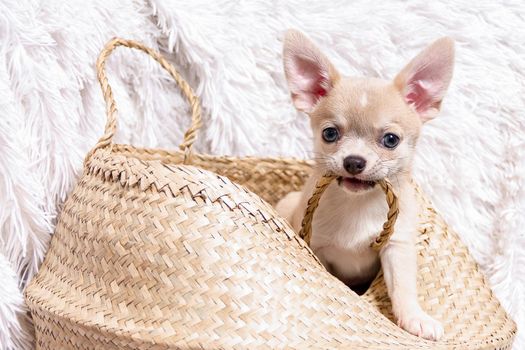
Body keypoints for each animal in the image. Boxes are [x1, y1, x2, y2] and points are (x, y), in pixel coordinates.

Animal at [274, 30, 454, 342]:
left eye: (391, 140)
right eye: (330, 134)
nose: (354, 161)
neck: (356, 204)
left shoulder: (397, 246)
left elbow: (403, 287)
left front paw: (414, 318)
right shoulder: (318, 248)